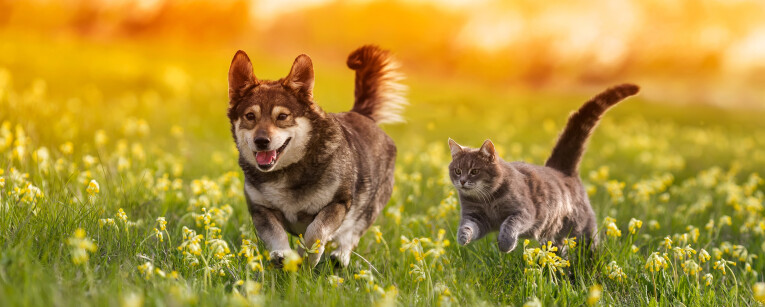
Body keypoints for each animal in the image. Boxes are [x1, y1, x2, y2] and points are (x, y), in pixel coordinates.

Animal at [227, 45, 406, 268]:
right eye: (250, 116)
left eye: (282, 116)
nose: (261, 141)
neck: (288, 171)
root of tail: (362, 115)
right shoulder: (261, 209)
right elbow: (275, 233)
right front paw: (282, 254)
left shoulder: (338, 203)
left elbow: (316, 230)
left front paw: (307, 255)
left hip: (370, 205)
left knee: (352, 233)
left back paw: (340, 256)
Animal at [448, 83, 640, 253]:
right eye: (457, 171)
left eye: (474, 171)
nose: (462, 181)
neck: (487, 199)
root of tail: (562, 169)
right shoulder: (475, 216)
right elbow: (467, 226)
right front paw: (462, 237)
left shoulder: (525, 212)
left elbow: (510, 225)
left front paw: (505, 244)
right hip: (554, 235)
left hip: (582, 228)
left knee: (589, 244)